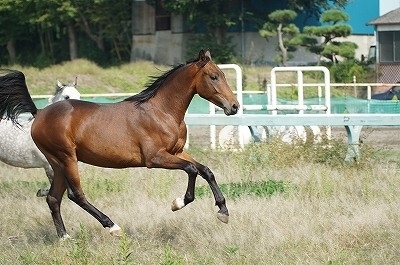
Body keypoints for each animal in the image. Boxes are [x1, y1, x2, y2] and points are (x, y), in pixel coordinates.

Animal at [0, 49, 238, 237]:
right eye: (214, 76)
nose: (234, 106)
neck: (161, 111)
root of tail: (39, 113)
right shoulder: (155, 158)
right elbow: (191, 169)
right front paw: (178, 203)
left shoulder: (177, 152)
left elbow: (206, 170)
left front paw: (223, 212)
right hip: (66, 159)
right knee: (75, 195)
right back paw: (112, 226)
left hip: (57, 163)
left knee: (53, 198)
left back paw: (65, 238)